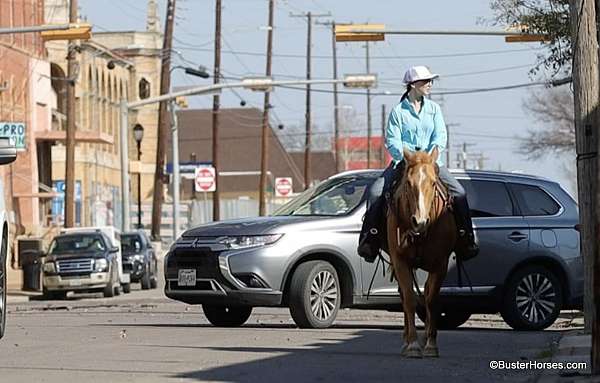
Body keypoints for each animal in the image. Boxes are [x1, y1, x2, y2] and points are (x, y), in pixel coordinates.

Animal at [386, 148, 458, 358]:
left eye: (433, 183)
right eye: (408, 183)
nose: (419, 221)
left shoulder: (441, 264)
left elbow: (431, 299)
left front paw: (431, 344)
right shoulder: (400, 261)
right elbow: (409, 299)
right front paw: (412, 344)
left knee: (426, 292)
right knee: (405, 296)